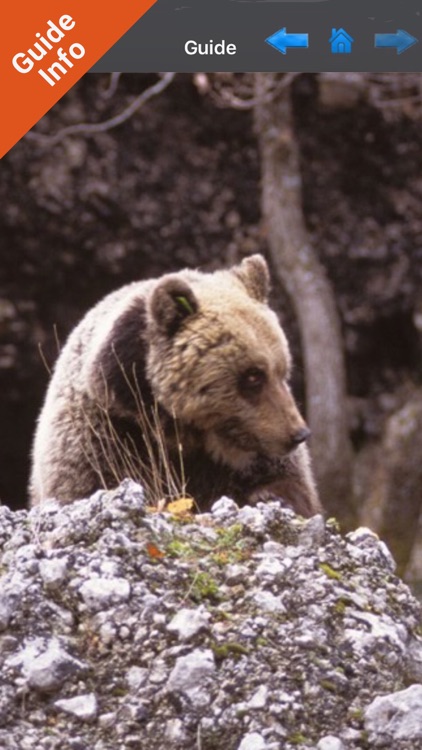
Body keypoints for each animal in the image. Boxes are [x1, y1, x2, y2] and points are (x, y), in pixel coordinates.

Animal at [28, 258, 320, 516]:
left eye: (283, 370)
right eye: (253, 376)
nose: (298, 433)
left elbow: (290, 483)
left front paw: (271, 497)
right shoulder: (104, 434)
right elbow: (88, 484)